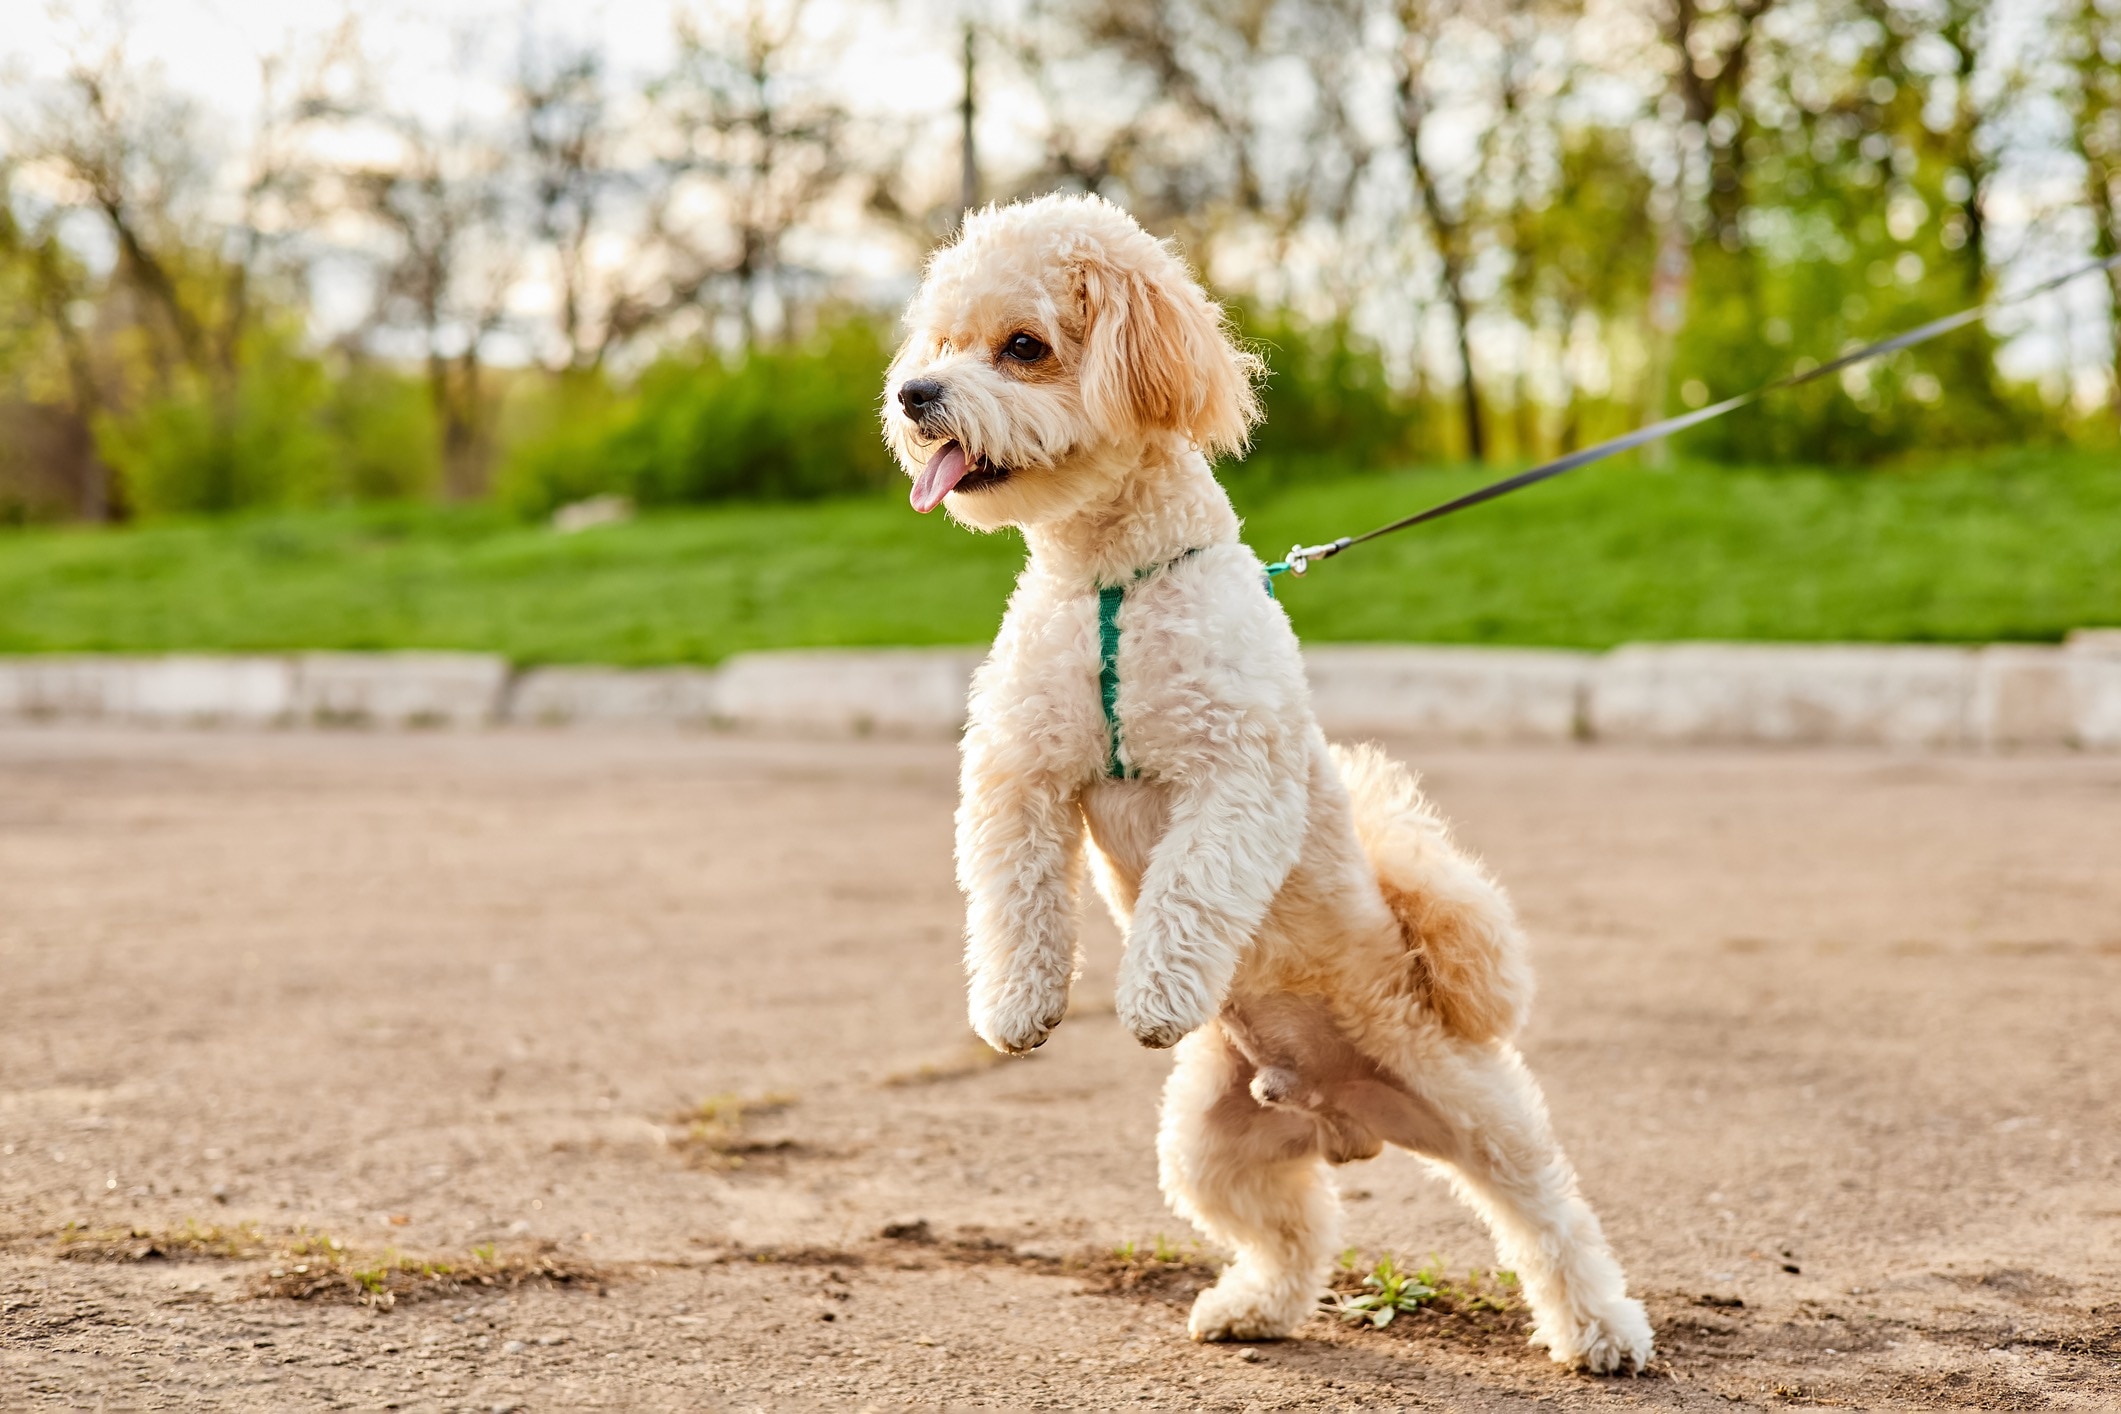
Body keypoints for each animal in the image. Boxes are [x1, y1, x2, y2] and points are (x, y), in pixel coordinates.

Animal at [878, 193, 1654, 1373]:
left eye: (1022, 346)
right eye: (941, 341)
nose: (916, 396)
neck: (1110, 585)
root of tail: (1347, 1120)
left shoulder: (1237, 778)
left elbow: (1190, 890)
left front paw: (1154, 994)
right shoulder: (1020, 774)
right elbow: (1015, 902)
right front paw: (1015, 1007)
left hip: (1480, 1111)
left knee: (1549, 1216)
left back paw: (1602, 1328)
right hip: (1208, 1147)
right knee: (1293, 1232)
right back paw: (1252, 1306)